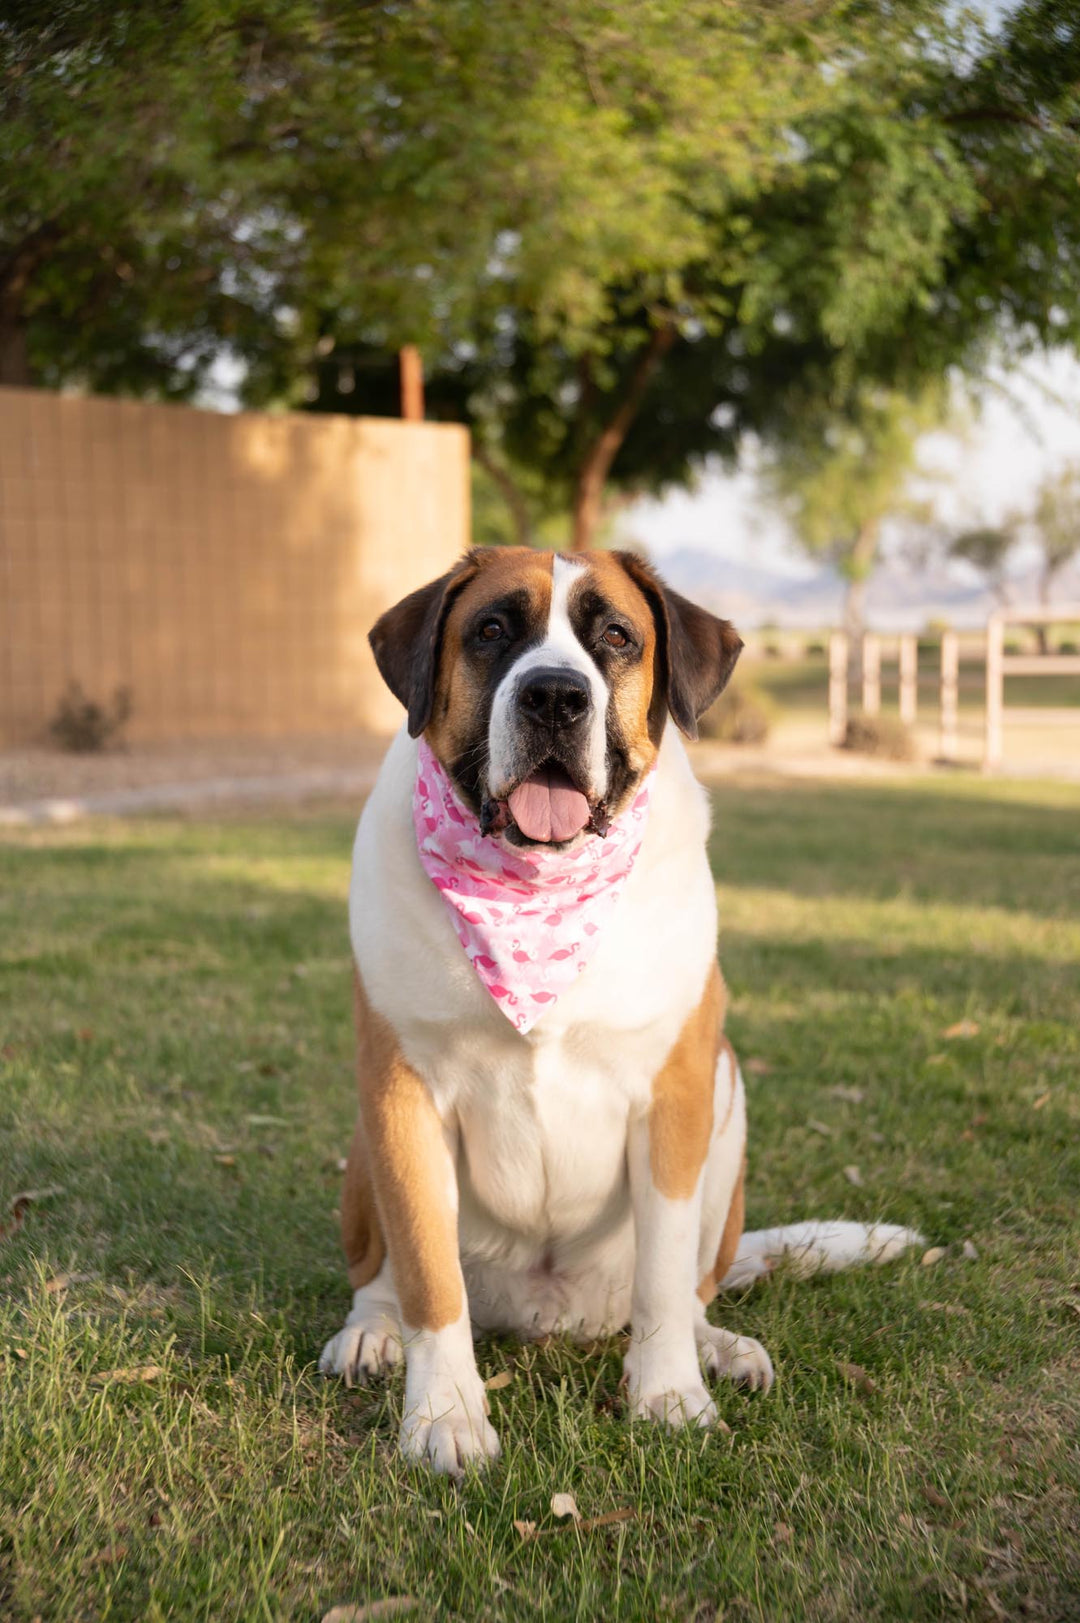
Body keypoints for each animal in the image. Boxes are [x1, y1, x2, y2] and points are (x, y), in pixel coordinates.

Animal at [319, 545, 915, 1473]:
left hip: (729, 1096)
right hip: (366, 1131)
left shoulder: (676, 1096)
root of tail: (549, 1310)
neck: (539, 895)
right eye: (492, 629)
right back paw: (371, 1331)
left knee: (693, 1286)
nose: (556, 696)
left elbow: (665, 1277)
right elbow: (426, 1269)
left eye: (617, 637)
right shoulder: (401, 1091)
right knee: (385, 1275)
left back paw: (716, 1345)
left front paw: (669, 1393)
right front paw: (445, 1412)